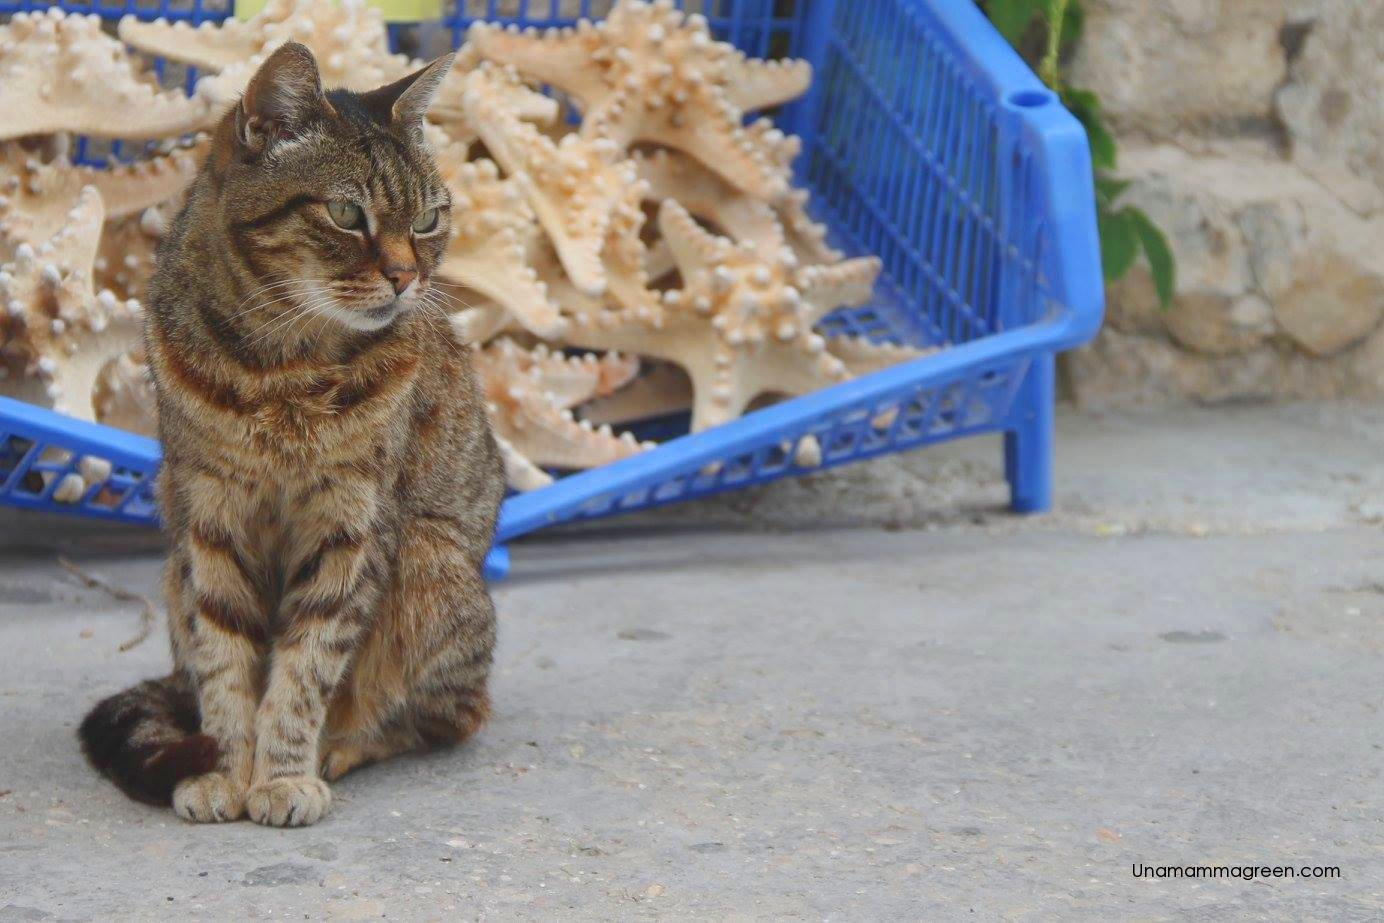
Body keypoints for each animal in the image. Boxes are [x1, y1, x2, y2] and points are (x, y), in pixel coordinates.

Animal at [78, 41, 506, 830]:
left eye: (429, 219)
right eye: (345, 213)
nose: (407, 277)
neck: (281, 367)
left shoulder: (353, 523)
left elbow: (306, 666)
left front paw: (281, 775)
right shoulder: (209, 517)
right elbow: (224, 661)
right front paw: (225, 767)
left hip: (431, 560)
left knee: (453, 716)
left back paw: (342, 744)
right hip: (174, 564)